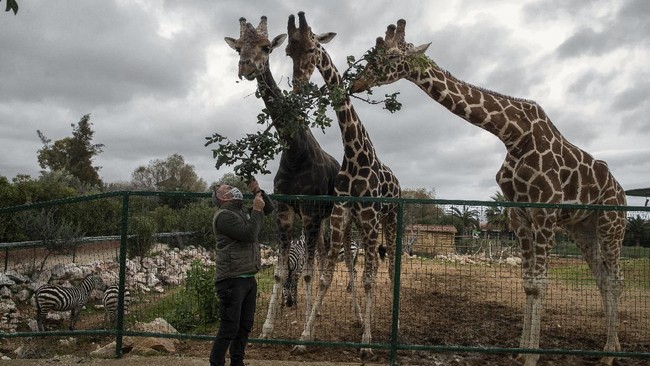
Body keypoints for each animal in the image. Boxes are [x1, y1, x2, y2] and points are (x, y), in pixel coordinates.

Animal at [224, 16, 340, 338]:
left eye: (267, 47)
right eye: (238, 47)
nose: (246, 67)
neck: (295, 153)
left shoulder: (311, 210)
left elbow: (308, 273)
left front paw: (306, 335)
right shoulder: (287, 210)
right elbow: (278, 271)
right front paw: (266, 328)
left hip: (330, 215)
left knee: (330, 259)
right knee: (321, 254)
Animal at [284, 12, 400, 358]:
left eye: (312, 48)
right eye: (288, 51)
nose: (298, 84)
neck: (354, 153)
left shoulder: (370, 217)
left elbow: (369, 279)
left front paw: (367, 343)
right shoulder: (340, 216)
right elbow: (325, 277)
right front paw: (304, 337)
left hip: (388, 219)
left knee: (388, 266)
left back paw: (389, 322)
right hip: (357, 226)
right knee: (358, 266)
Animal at [350, 19, 628, 366]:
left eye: (389, 57)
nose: (356, 83)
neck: (513, 134)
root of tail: (622, 193)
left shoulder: (545, 212)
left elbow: (540, 284)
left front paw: (533, 357)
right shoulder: (520, 215)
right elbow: (528, 284)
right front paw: (521, 351)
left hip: (611, 225)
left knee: (615, 280)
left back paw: (609, 355)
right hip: (584, 230)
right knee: (603, 280)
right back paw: (611, 349)